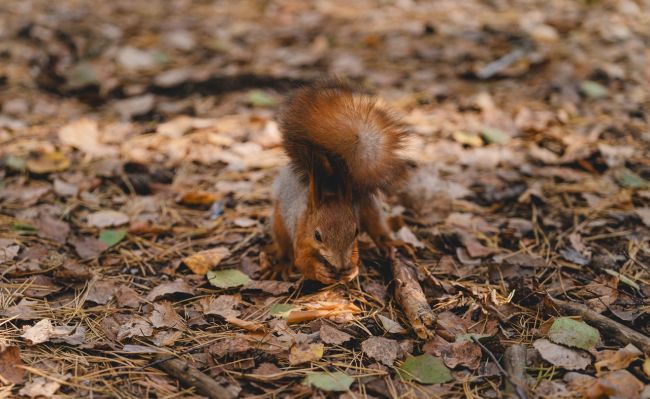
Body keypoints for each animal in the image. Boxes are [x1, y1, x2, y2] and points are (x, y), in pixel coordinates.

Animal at [270, 80, 410, 284]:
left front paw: (352, 270)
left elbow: (356, 253)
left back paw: (387, 243)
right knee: (283, 247)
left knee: (378, 227)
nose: (342, 265)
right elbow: (302, 262)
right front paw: (320, 272)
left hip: (368, 207)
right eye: (317, 236)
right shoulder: (300, 234)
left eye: (356, 231)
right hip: (279, 224)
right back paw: (281, 263)